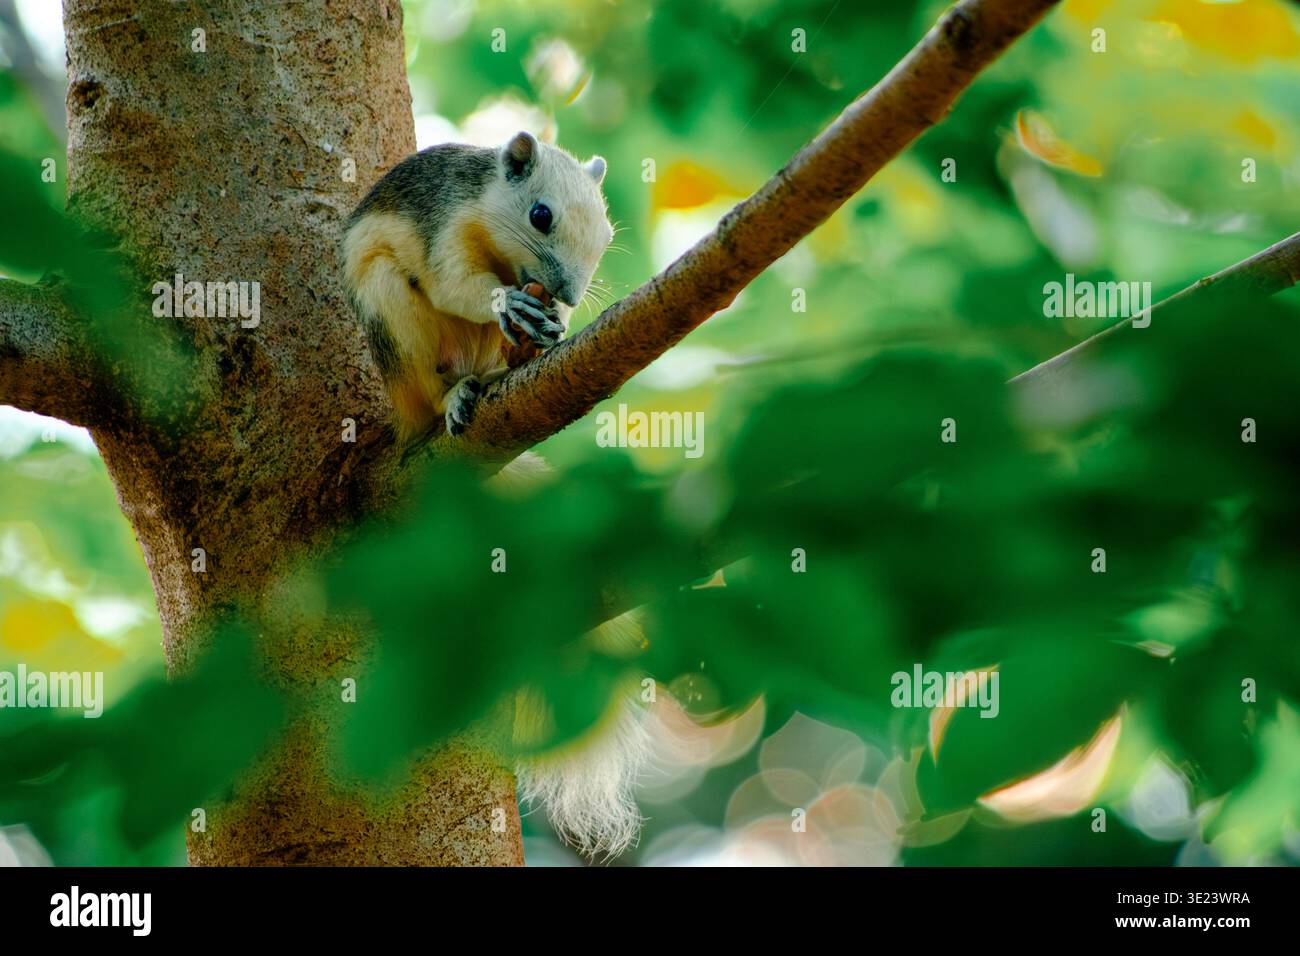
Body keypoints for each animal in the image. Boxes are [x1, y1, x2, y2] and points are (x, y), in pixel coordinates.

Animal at [342, 130, 612, 444]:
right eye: (540, 215)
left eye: (607, 236)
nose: (570, 296)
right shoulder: (448, 224)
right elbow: (452, 284)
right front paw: (509, 302)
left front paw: (554, 323)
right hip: (390, 312)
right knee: (429, 396)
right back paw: (452, 396)